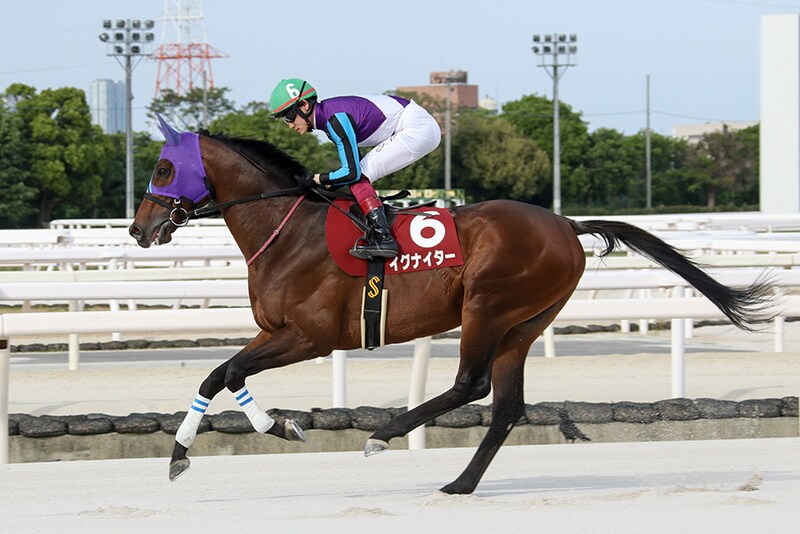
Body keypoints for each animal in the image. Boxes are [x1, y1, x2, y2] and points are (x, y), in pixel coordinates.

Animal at [129, 116, 774, 495]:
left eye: (162, 167)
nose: (139, 229)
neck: (289, 231)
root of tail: (566, 223)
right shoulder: (277, 332)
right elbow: (217, 374)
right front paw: (180, 456)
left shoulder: (311, 336)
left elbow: (232, 371)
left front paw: (279, 427)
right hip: (525, 322)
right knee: (507, 404)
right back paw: (460, 483)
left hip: (486, 307)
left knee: (472, 384)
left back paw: (385, 434)